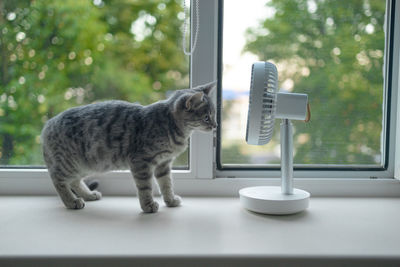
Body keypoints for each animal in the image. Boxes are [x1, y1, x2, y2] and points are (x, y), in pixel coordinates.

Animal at [40, 83, 216, 214]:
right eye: (206, 117)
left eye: (213, 114)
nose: (215, 125)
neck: (172, 127)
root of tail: (47, 126)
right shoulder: (141, 162)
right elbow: (145, 187)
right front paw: (148, 205)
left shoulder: (163, 163)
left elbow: (166, 184)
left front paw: (170, 200)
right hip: (71, 163)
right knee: (57, 178)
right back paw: (71, 201)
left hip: (87, 164)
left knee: (75, 180)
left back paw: (88, 194)